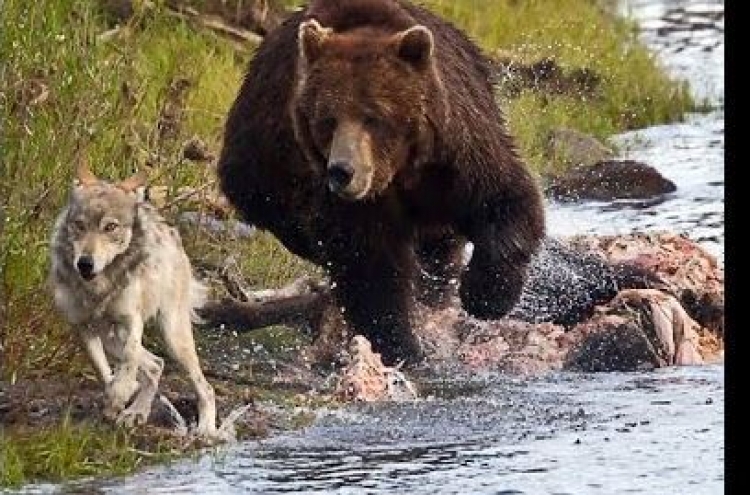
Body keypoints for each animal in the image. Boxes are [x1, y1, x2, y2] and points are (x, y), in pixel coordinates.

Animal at [48, 163, 220, 442]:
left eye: (110, 227)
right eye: (79, 225)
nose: (85, 263)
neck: (99, 287)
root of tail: (170, 231)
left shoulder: (131, 320)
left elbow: (128, 362)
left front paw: (119, 396)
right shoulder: (82, 327)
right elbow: (101, 369)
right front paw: (115, 399)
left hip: (172, 336)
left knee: (204, 386)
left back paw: (205, 428)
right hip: (111, 337)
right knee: (156, 365)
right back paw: (136, 412)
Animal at [217, 0, 548, 364]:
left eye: (373, 117)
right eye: (327, 119)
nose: (342, 171)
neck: (398, 170)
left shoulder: (455, 152)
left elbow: (503, 197)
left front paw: (486, 295)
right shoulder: (344, 200)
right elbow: (369, 265)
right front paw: (400, 344)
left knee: (441, 244)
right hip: (258, 170)